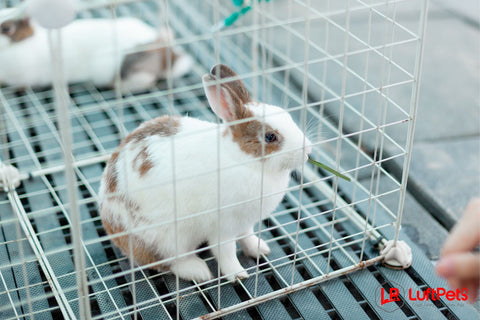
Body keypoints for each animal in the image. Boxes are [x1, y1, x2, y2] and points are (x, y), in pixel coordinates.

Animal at [99, 63, 314, 282]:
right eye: (270, 137)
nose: (308, 150)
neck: (244, 160)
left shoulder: (245, 223)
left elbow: (247, 237)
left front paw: (260, 249)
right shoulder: (223, 227)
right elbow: (226, 252)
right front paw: (238, 275)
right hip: (166, 239)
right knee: (167, 262)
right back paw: (199, 271)